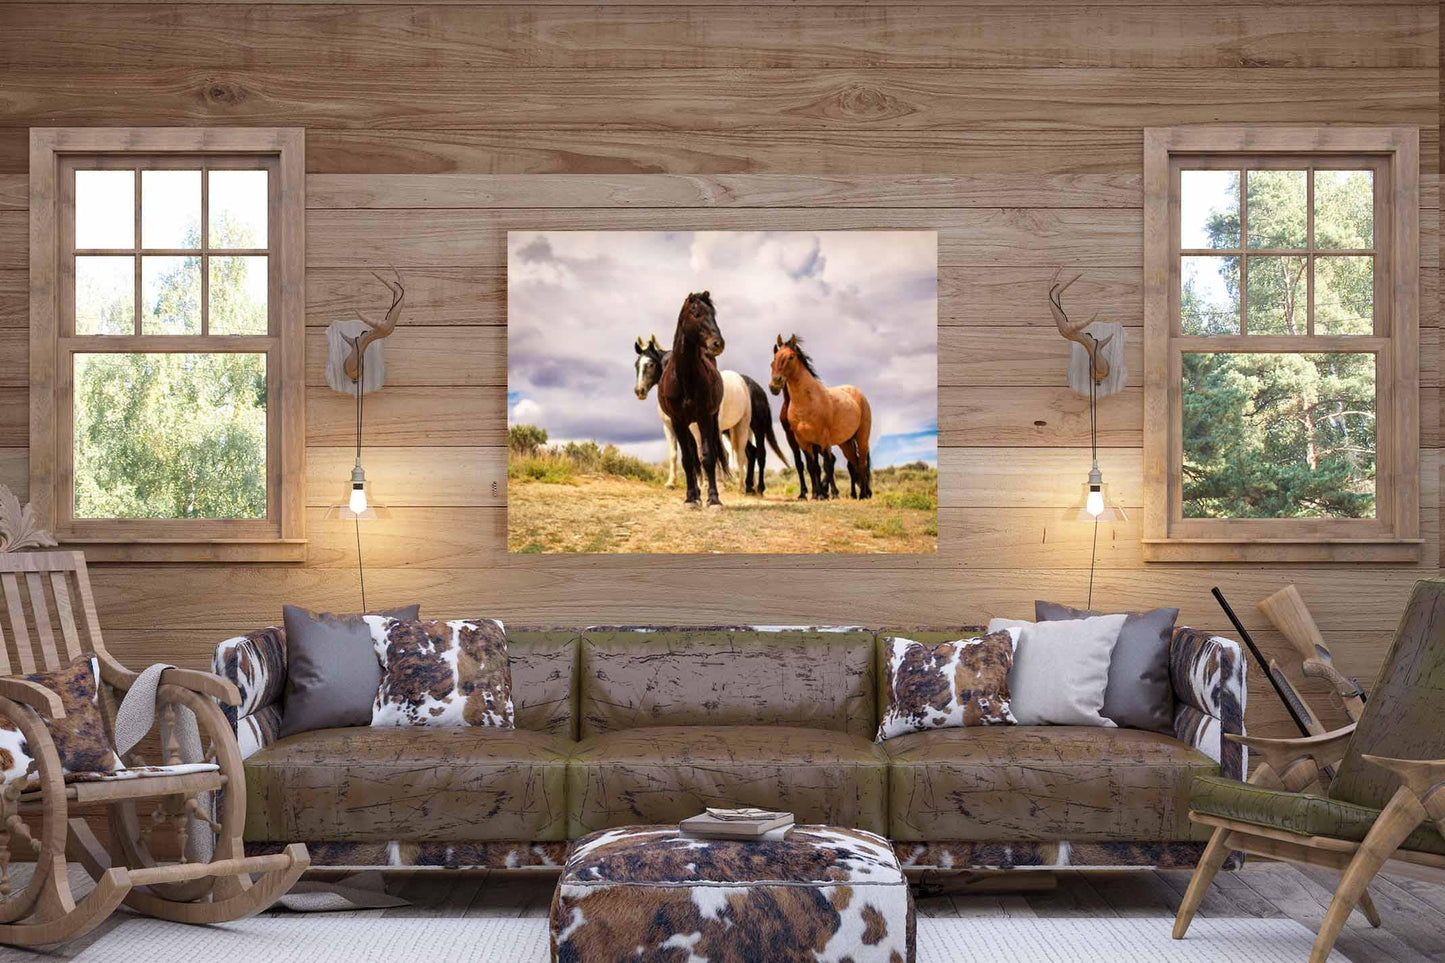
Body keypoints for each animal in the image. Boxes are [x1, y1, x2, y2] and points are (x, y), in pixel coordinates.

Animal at [638, 334, 762, 491]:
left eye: (651, 365)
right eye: (637, 365)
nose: (639, 390)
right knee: (742, 453)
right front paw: (673, 483)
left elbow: (701, 453)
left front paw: (706, 483)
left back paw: (741, 486)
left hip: (740, 425)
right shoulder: (670, 426)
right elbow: (678, 454)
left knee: (738, 454)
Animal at [658, 290, 728, 506]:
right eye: (696, 314)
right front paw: (690, 497)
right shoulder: (677, 421)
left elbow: (707, 457)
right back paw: (696, 493)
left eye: (713, 314)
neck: (685, 378)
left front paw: (713, 499)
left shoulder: (705, 417)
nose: (718, 343)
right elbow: (688, 460)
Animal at [768, 334, 867, 497]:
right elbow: (808, 465)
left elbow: (825, 465)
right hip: (845, 442)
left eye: (791, 357)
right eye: (774, 359)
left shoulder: (822, 438)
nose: (774, 385)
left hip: (861, 437)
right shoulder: (796, 437)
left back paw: (861, 493)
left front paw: (823, 493)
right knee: (853, 463)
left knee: (860, 462)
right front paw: (811, 493)